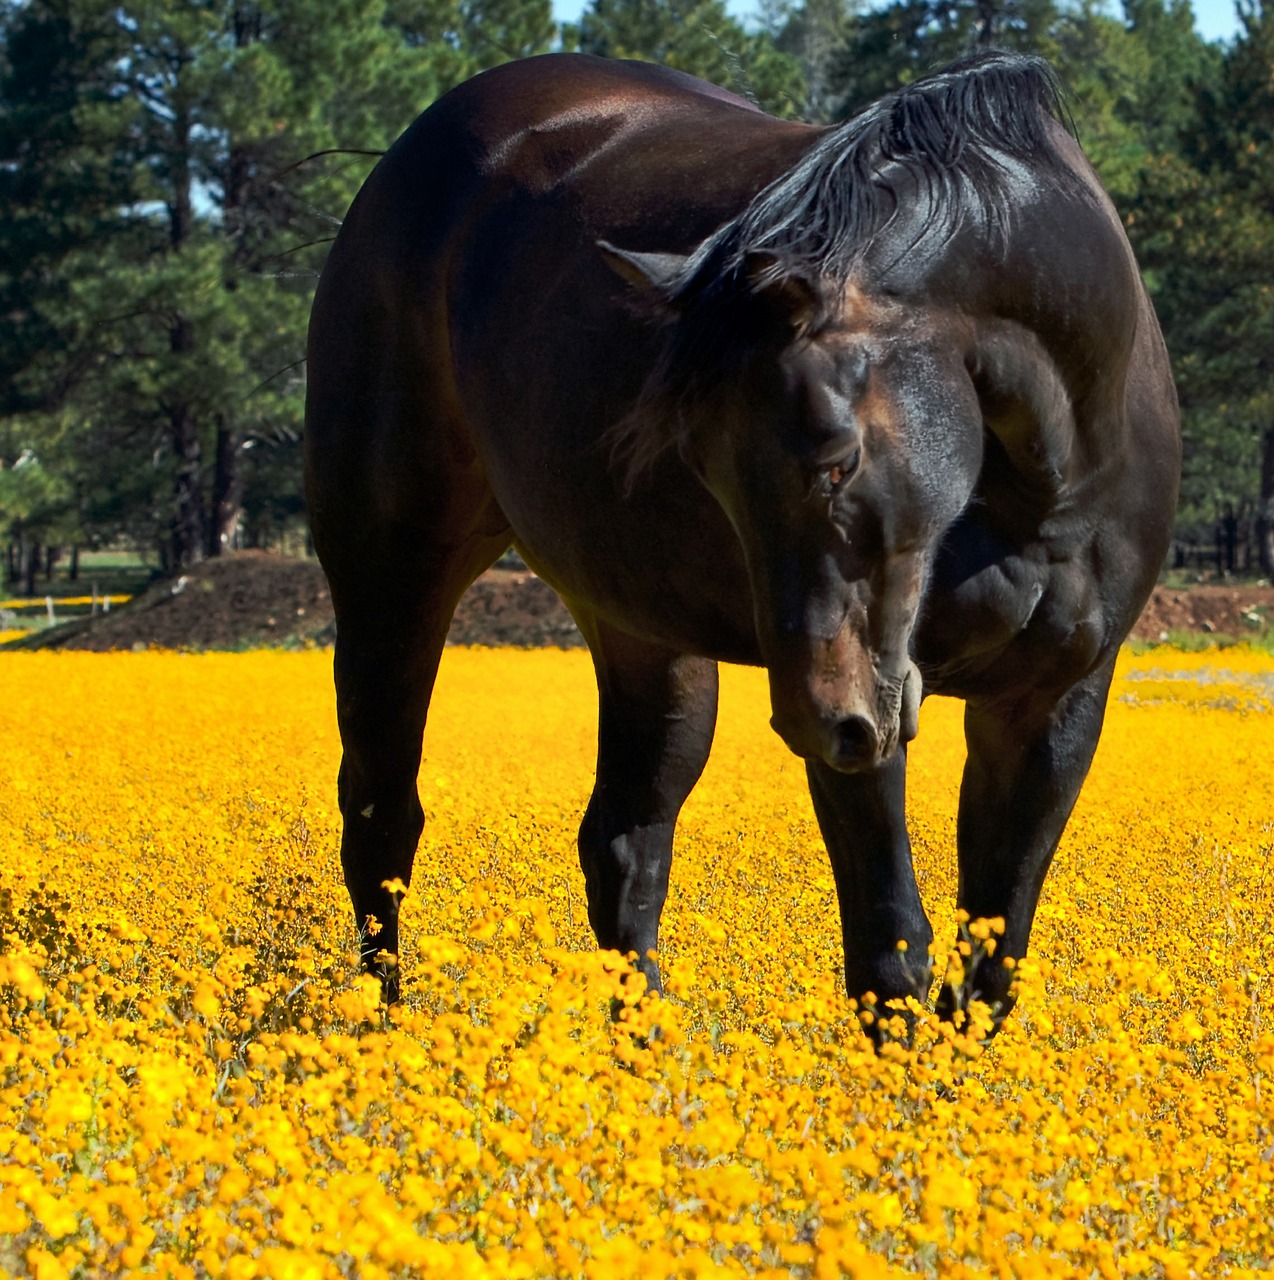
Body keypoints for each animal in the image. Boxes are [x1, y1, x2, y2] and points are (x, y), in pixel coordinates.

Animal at [303, 49, 1183, 1034]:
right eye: (704, 465)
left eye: (838, 457)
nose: (814, 719)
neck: (1040, 478)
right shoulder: (870, 713)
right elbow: (892, 950)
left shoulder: (1053, 702)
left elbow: (990, 966)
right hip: (391, 577)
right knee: (382, 818)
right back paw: (379, 1028)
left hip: (647, 637)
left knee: (624, 844)